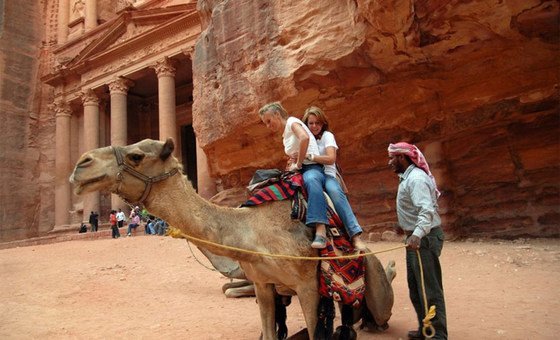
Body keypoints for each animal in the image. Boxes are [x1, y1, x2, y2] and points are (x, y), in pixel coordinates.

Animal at [69, 137, 394, 338]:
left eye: (136, 156)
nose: (81, 163)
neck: (251, 231)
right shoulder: (263, 284)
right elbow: (269, 332)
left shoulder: (306, 285)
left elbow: (315, 331)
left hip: (368, 280)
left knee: (378, 305)